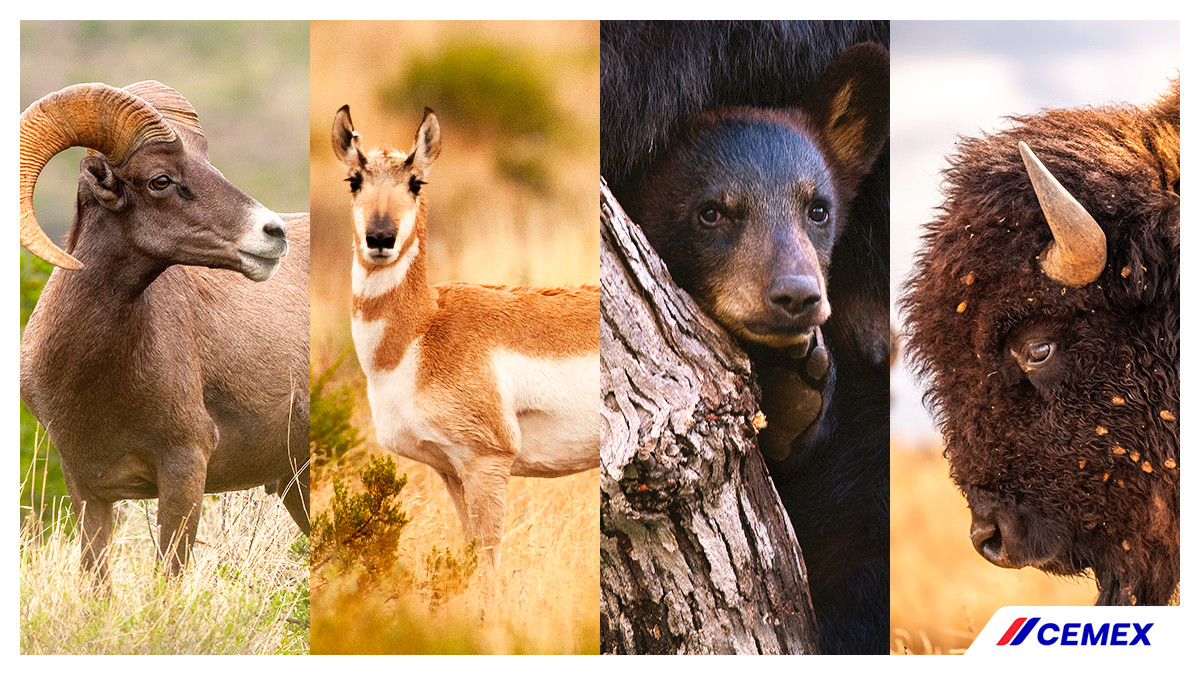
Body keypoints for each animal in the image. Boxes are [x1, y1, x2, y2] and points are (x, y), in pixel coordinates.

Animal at [331, 105, 600, 564]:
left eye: (416, 181)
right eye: (354, 180)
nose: (380, 238)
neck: (422, 331)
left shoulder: (485, 462)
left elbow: (488, 562)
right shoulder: (449, 470)